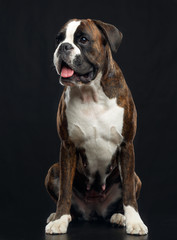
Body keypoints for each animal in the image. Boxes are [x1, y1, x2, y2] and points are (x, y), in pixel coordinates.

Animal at [44, 19, 148, 236]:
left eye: (83, 39)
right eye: (59, 39)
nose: (63, 47)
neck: (90, 92)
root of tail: (94, 212)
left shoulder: (127, 145)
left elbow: (129, 194)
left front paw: (134, 222)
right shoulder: (67, 147)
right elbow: (64, 190)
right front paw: (59, 220)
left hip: (135, 177)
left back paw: (120, 216)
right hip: (53, 169)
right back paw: (61, 216)